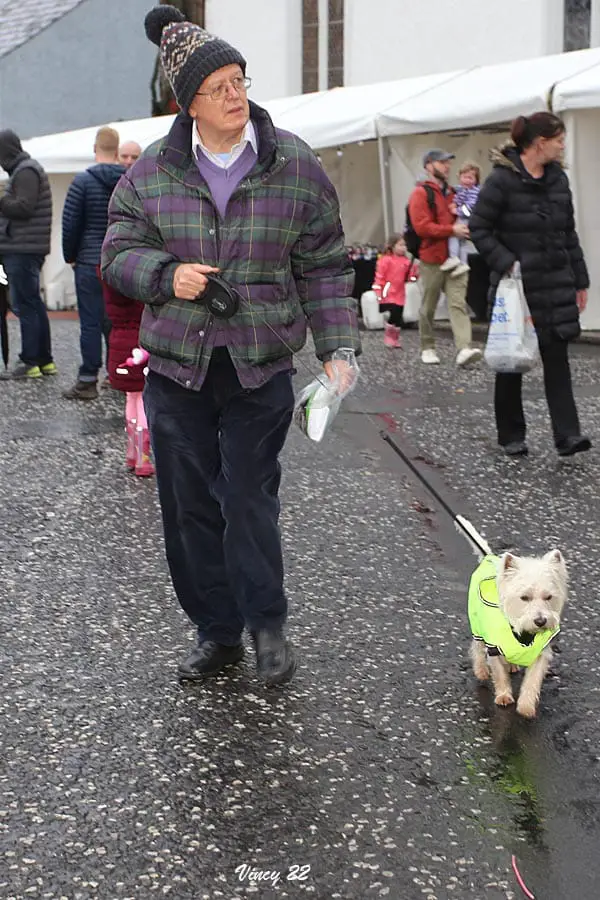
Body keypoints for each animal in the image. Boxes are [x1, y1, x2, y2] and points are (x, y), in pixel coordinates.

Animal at [468, 548, 568, 716]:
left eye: (548, 597)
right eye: (524, 597)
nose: (540, 621)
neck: (525, 632)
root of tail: (489, 557)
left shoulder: (541, 652)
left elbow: (533, 680)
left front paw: (526, 706)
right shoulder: (494, 647)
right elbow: (499, 673)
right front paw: (503, 696)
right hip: (477, 624)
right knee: (477, 647)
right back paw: (481, 670)